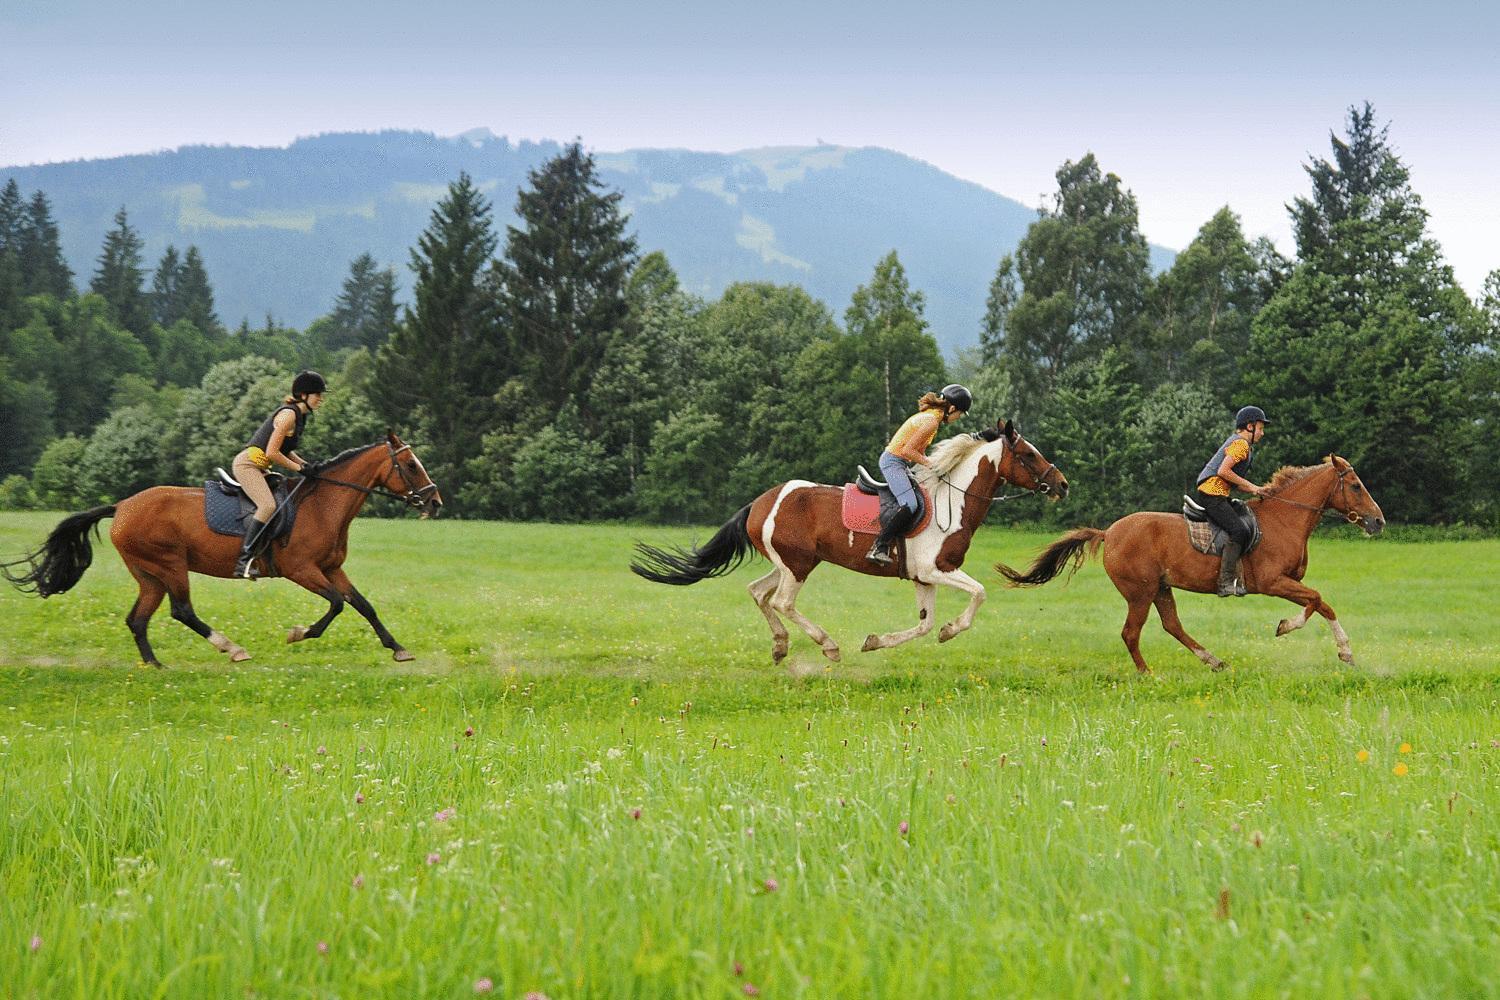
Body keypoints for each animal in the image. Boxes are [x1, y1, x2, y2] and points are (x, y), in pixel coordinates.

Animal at [2, 434, 438, 668]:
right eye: (411, 466)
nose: (435, 502)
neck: (322, 505)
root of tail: (122, 505)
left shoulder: (331, 568)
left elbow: (363, 605)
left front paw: (398, 649)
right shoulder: (301, 570)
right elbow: (335, 605)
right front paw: (298, 634)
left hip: (148, 574)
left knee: (137, 619)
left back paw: (155, 664)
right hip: (170, 565)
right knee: (181, 611)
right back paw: (231, 648)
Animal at [630, 422, 1068, 665]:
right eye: (1029, 454)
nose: (1062, 484)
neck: (953, 499)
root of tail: (761, 501)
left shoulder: (922, 578)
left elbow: (923, 625)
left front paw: (876, 642)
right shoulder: (937, 569)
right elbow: (978, 595)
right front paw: (951, 630)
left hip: (790, 562)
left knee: (757, 592)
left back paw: (780, 647)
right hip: (798, 566)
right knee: (782, 602)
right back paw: (828, 646)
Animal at [1002, 458, 1386, 677]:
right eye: (1355, 486)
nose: (1378, 521)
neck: (1283, 519)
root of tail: (1108, 532)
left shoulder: (1287, 581)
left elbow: (1322, 604)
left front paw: (1346, 653)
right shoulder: (1273, 581)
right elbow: (1315, 601)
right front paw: (1286, 627)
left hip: (1160, 587)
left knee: (1172, 625)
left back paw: (1214, 661)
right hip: (1140, 592)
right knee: (1131, 633)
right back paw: (1148, 674)